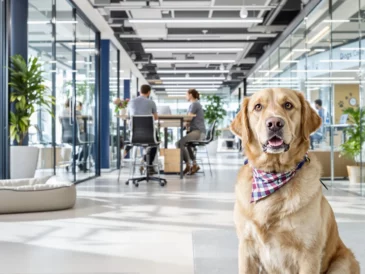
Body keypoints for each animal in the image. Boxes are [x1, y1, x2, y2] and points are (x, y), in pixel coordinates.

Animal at [230, 88, 358, 274]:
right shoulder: (246, 249)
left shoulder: (309, 253)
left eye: (288, 105)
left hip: (343, 262)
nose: (274, 123)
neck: (274, 176)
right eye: (258, 107)